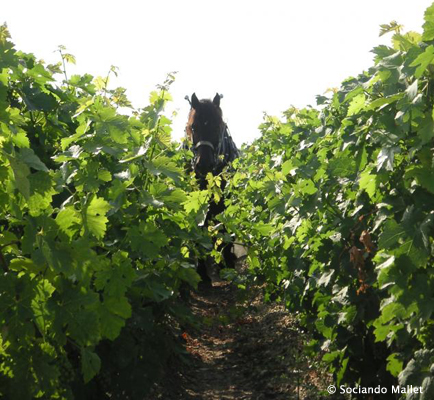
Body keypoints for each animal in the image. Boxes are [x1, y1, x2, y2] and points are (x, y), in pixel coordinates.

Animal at [184, 92, 239, 282]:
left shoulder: (224, 203)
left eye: (218, 127)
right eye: (193, 127)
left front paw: (228, 265)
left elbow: (224, 227)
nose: (204, 164)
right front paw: (202, 273)